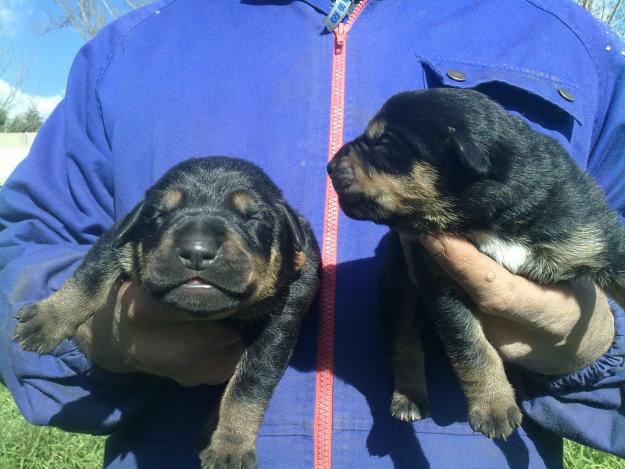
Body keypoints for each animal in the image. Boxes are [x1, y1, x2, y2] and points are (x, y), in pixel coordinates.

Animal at [13, 156, 322, 468]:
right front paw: (48, 317)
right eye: (160, 214)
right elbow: (91, 275)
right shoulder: (120, 240)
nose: (197, 250)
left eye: (252, 218)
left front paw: (231, 446)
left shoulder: (281, 319)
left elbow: (248, 386)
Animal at [324, 88, 624, 438]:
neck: (488, 219)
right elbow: (471, 346)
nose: (329, 165)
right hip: (398, 281)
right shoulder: (439, 282)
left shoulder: (594, 234)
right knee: (405, 339)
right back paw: (408, 396)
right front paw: (494, 405)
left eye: (383, 142)